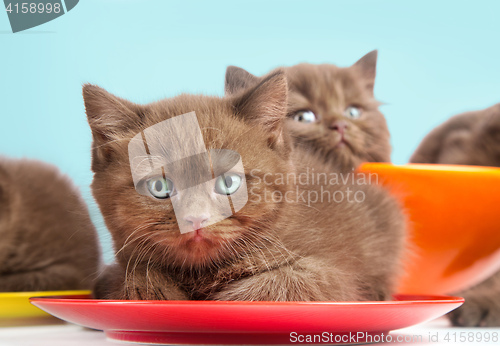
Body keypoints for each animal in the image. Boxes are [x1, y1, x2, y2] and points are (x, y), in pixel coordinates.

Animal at [86, 71, 406, 302]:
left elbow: (281, 285)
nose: (196, 218)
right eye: (160, 186)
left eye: (228, 182)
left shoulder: (330, 275)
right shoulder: (113, 273)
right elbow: (137, 279)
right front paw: (151, 286)